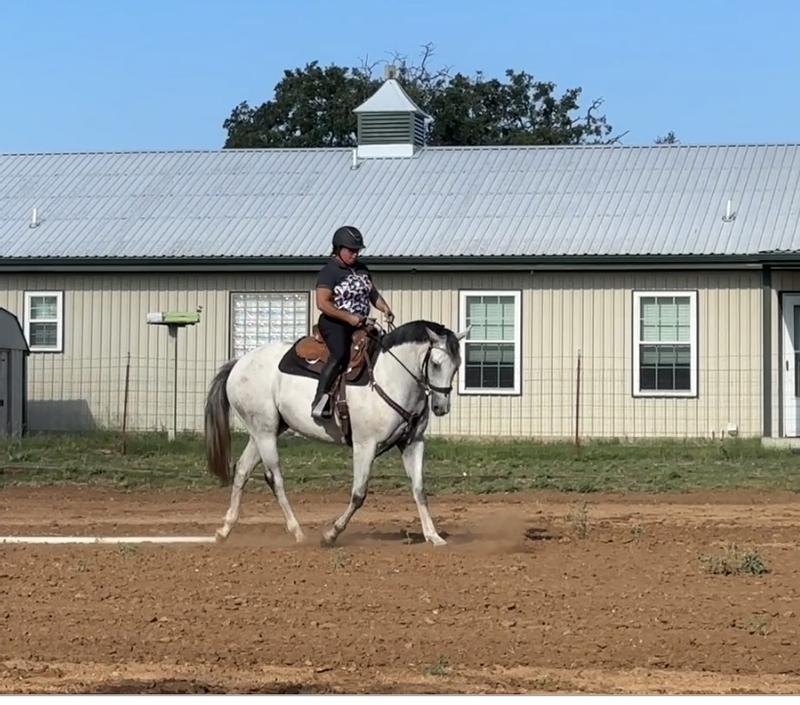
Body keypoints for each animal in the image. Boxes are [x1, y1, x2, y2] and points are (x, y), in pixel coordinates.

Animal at [204, 319, 467, 546]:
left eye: (457, 366)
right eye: (436, 363)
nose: (441, 407)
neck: (391, 377)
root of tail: (239, 363)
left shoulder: (413, 443)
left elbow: (419, 489)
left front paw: (433, 536)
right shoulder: (365, 445)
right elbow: (359, 494)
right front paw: (331, 533)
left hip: (263, 431)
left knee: (242, 470)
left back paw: (225, 529)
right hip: (265, 431)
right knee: (274, 478)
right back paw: (297, 532)